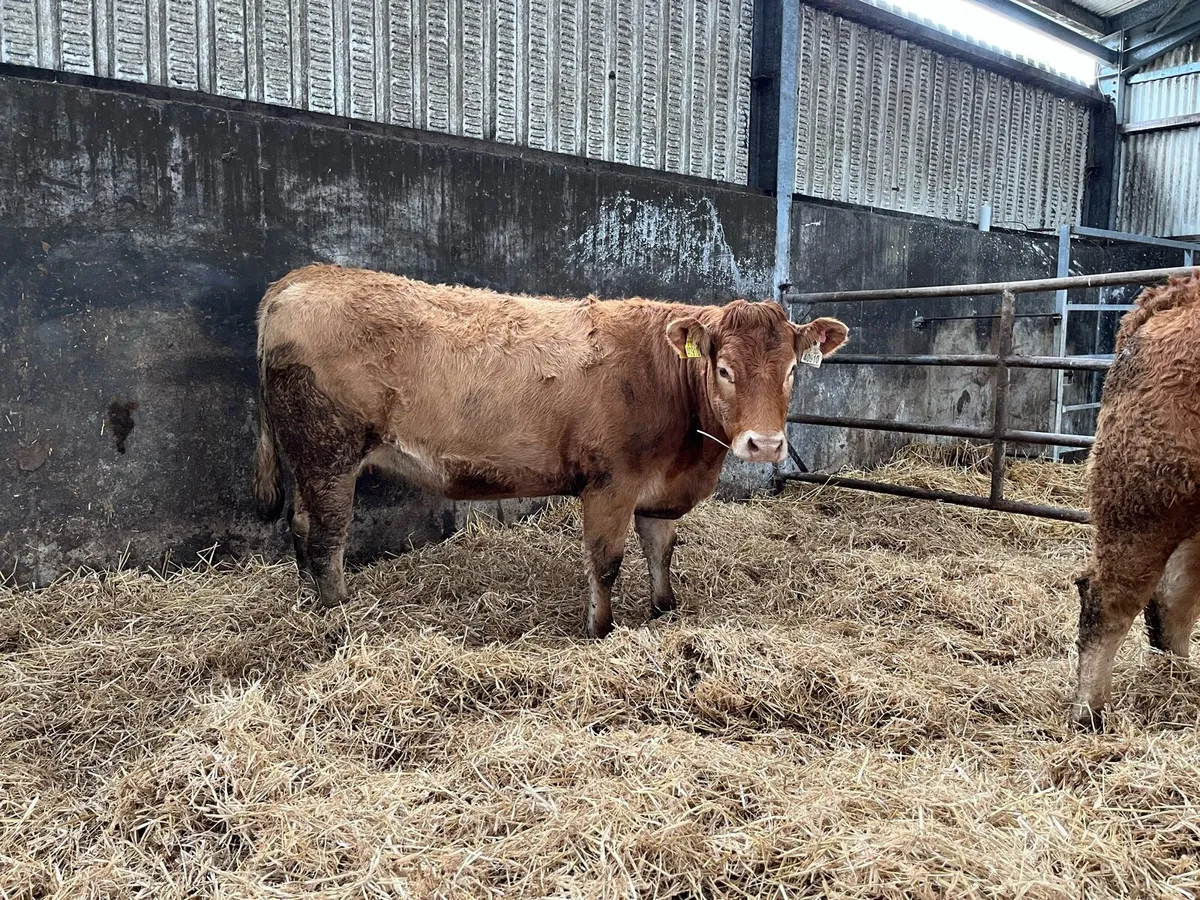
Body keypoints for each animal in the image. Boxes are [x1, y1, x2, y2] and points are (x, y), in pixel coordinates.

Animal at [252, 265, 849, 638]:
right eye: (723, 369)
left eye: (791, 371)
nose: (765, 444)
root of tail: (303, 278)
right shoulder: (611, 485)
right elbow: (605, 563)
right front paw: (599, 630)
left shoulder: (658, 490)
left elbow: (661, 551)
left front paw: (664, 611)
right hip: (329, 452)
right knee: (327, 537)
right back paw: (338, 617)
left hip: (309, 459)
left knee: (302, 527)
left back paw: (309, 603)